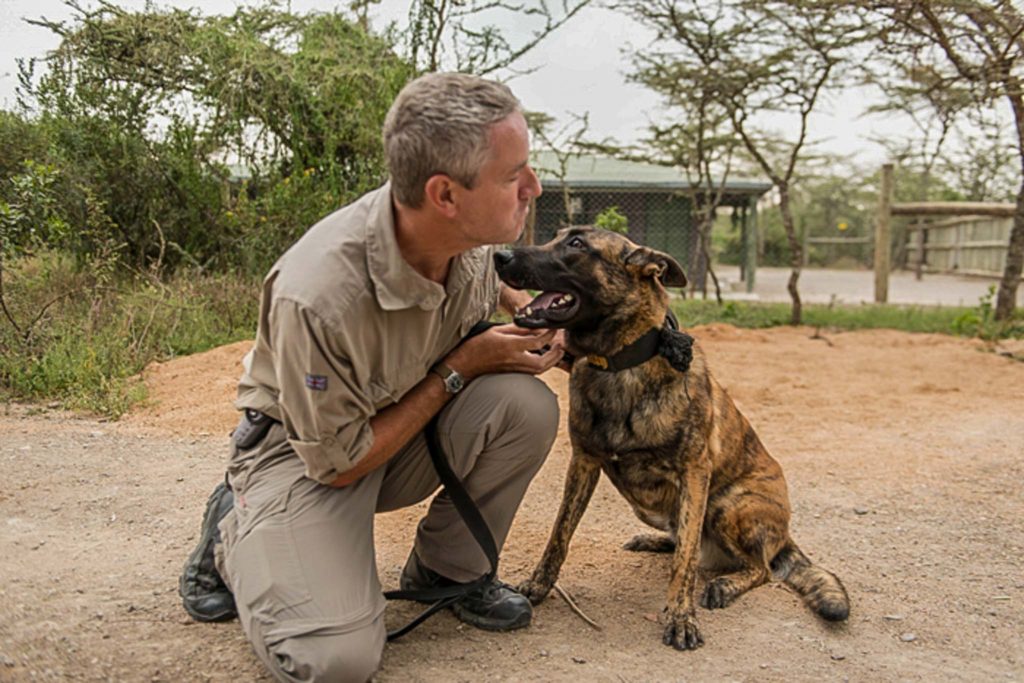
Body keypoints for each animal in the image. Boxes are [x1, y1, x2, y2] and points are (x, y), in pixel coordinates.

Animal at [491, 227, 851, 651]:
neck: (619, 365)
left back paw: (726, 584)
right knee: (687, 538)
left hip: (727, 505)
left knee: (755, 566)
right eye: (558, 235)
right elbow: (559, 534)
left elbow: (685, 563)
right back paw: (657, 540)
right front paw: (539, 584)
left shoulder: (694, 472)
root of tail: (785, 533)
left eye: (577, 244)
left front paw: (681, 617)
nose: (499, 256)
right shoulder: (583, 462)